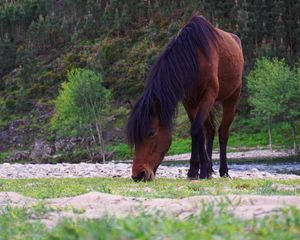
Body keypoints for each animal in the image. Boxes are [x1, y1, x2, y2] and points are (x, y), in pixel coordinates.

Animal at [126, 15, 244, 181]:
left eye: (151, 133)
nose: (139, 174)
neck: (194, 57)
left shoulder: (208, 95)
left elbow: (195, 130)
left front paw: (200, 170)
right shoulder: (189, 101)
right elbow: (198, 132)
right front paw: (197, 170)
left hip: (231, 99)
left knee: (223, 133)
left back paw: (224, 171)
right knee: (210, 131)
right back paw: (210, 169)